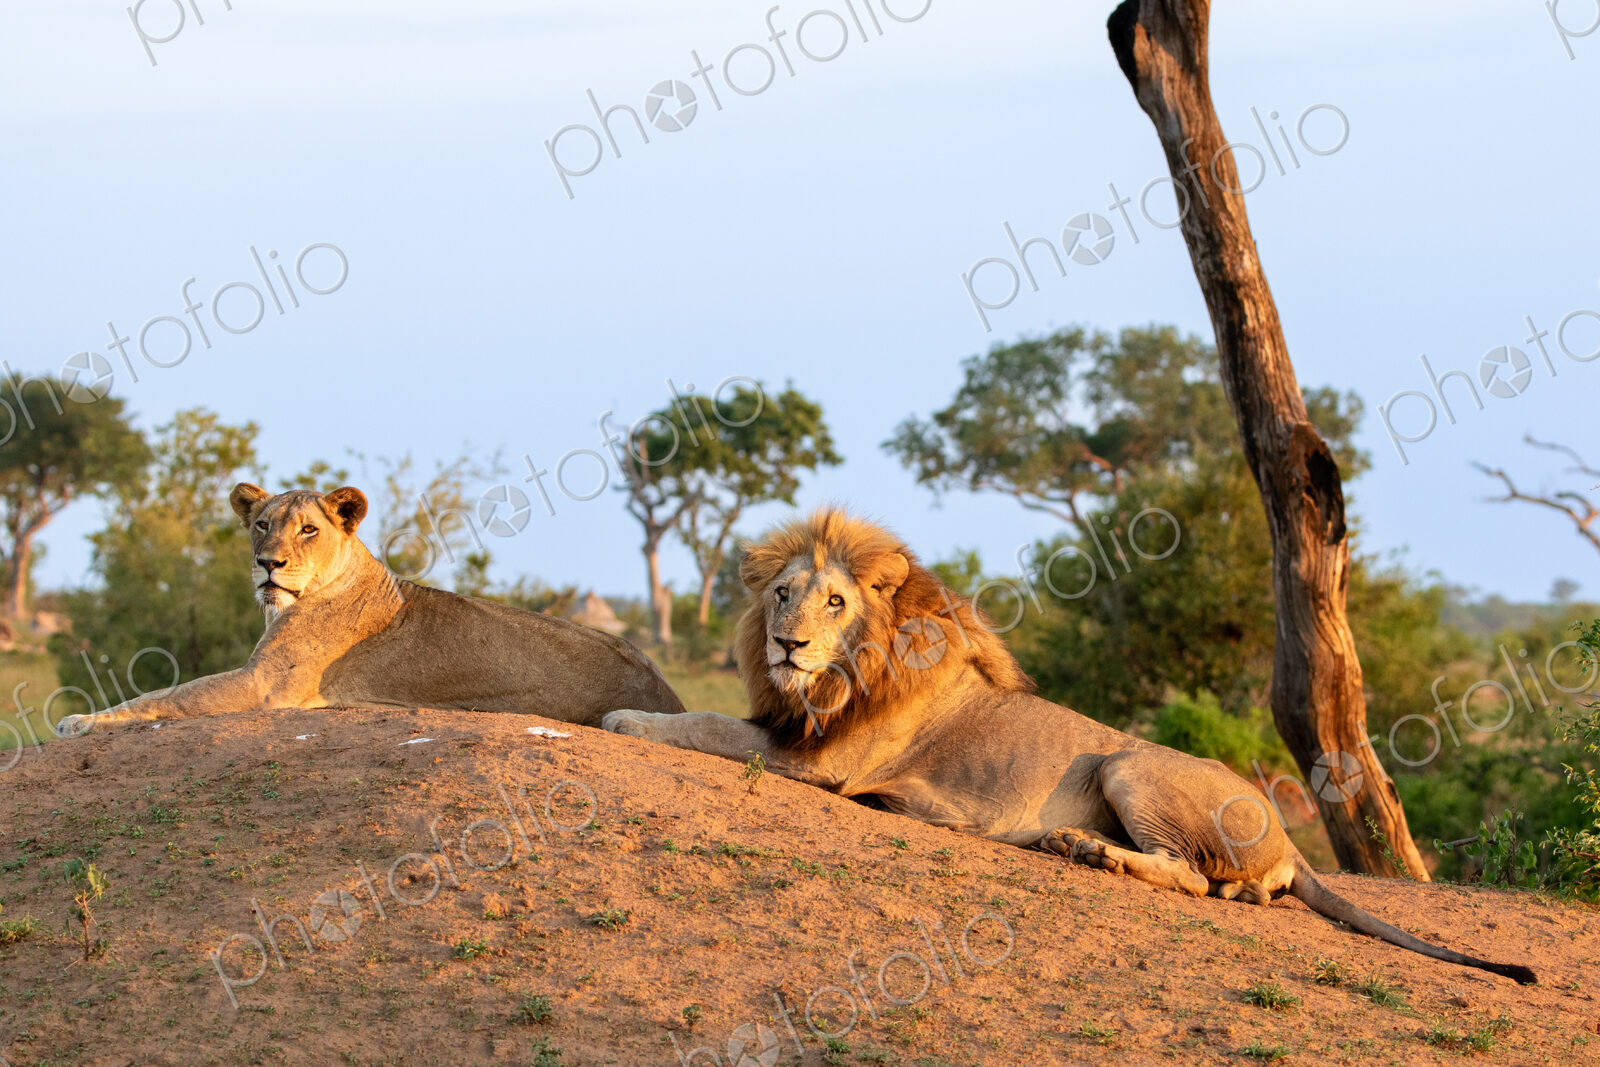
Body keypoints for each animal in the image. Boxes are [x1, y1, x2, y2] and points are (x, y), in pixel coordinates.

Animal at [54, 483, 686, 737]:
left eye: (308, 530)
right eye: (261, 525)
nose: (268, 564)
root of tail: (669, 694)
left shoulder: (264, 685)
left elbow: (168, 695)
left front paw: (81, 720)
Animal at [605, 509, 1536, 985]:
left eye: (834, 602)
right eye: (782, 594)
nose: (785, 644)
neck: (840, 677)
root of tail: (1286, 836)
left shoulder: (821, 763)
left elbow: (706, 725)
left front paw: (621, 719)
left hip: (1126, 762)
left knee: (1190, 875)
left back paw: (1085, 848)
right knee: (1229, 888)